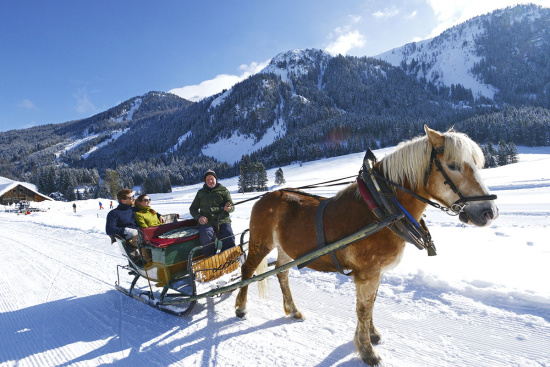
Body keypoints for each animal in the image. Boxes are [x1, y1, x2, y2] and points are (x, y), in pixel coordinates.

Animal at [235, 126, 502, 366]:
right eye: (453, 165)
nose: (489, 212)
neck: (384, 207)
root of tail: (264, 197)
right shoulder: (367, 273)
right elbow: (363, 309)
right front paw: (366, 351)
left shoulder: (377, 272)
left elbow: (371, 304)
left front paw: (372, 335)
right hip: (261, 243)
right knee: (247, 270)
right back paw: (240, 308)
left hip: (285, 250)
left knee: (281, 273)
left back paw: (292, 310)